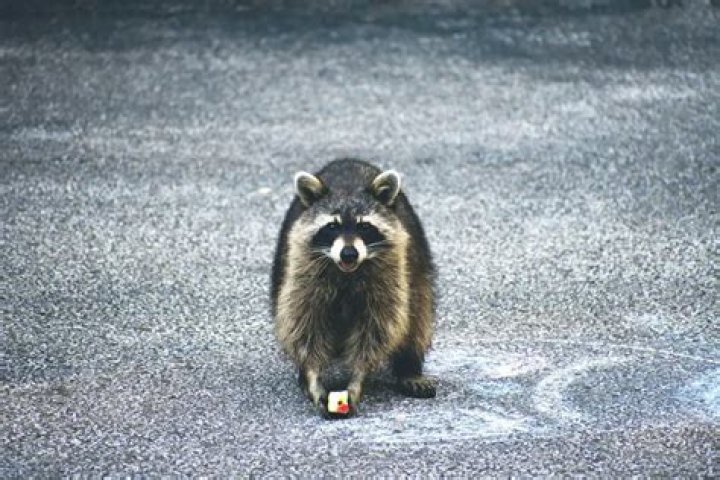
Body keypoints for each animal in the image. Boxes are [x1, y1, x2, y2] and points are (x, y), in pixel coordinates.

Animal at [271, 158, 436, 418]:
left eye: (364, 227)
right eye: (332, 227)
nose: (349, 253)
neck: (346, 272)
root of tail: (349, 160)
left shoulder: (389, 270)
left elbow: (378, 326)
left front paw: (359, 374)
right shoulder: (303, 267)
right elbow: (304, 322)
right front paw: (312, 372)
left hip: (418, 267)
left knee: (418, 314)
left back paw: (409, 367)